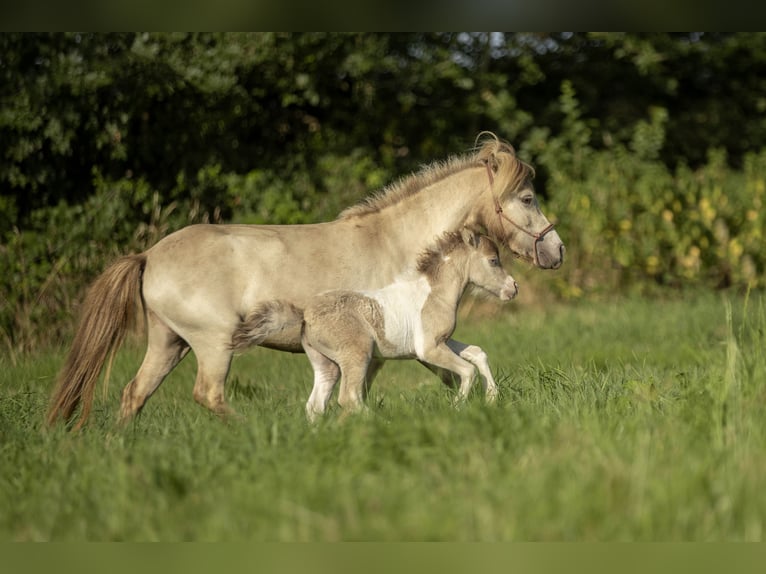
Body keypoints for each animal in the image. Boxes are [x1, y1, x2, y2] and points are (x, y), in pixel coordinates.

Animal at [48, 133, 564, 430]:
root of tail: (149, 255)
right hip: (213, 343)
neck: (400, 245)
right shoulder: (396, 345)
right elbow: (414, 379)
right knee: (208, 394)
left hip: (168, 342)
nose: (555, 251)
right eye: (527, 198)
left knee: (135, 395)